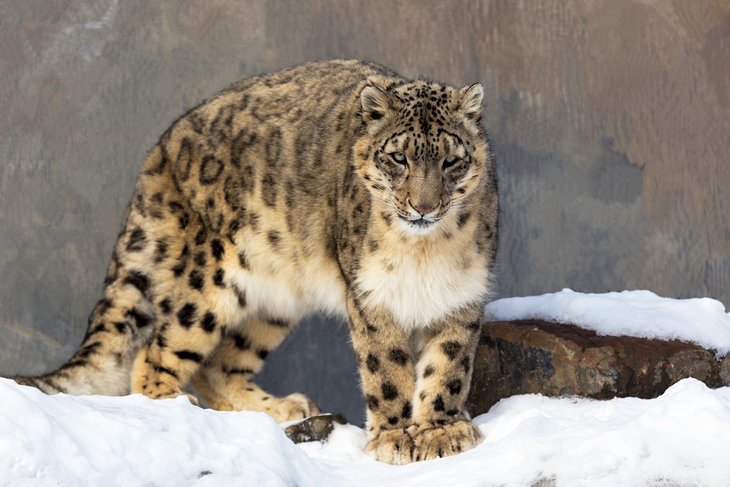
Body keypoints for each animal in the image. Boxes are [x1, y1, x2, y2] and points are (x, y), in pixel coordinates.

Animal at [14, 61, 498, 466]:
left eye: (451, 160)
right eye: (398, 157)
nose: (423, 206)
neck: (425, 252)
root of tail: (162, 146)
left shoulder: (463, 296)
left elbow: (449, 367)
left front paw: (441, 432)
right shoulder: (371, 296)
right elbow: (388, 370)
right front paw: (394, 438)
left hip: (273, 301)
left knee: (217, 366)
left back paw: (283, 407)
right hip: (206, 282)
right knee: (155, 354)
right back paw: (175, 405)